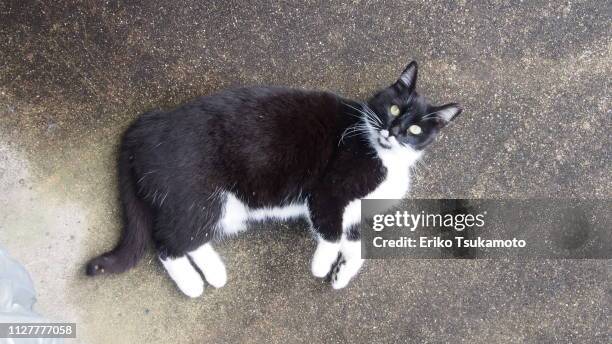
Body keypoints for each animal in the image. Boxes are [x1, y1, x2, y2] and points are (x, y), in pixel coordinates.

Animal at [85, 60, 460, 296]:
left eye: (415, 129)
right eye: (394, 108)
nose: (393, 131)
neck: (386, 158)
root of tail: (152, 123)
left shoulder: (356, 213)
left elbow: (355, 245)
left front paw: (341, 275)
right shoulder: (330, 191)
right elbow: (331, 232)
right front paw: (322, 265)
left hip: (221, 206)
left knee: (185, 237)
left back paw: (213, 272)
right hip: (200, 194)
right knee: (166, 243)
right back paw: (192, 284)